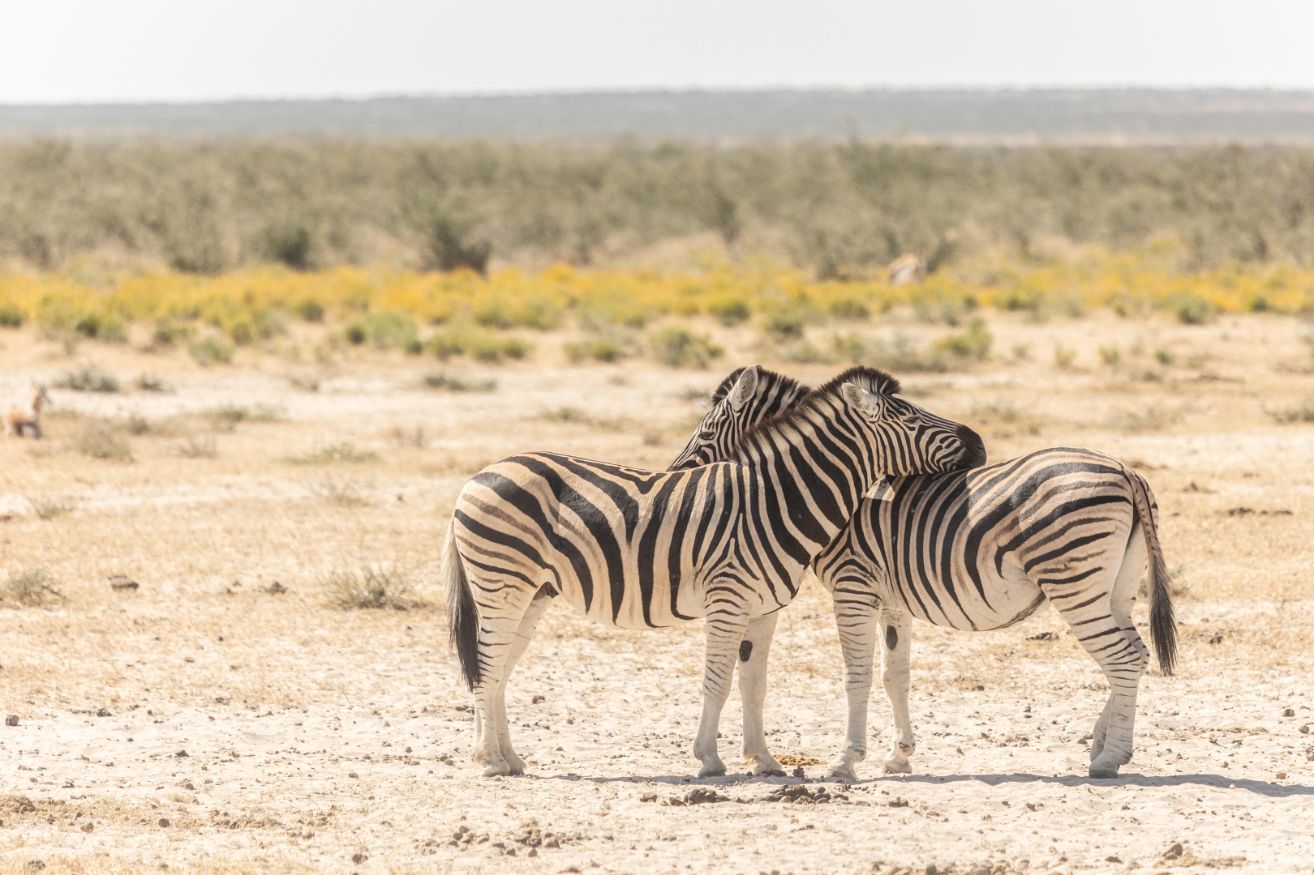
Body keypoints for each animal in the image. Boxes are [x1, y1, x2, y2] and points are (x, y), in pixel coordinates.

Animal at [443, 366, 985, 777]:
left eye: (705, 432)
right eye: (909, 417)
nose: (978, 443)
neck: (775, 498)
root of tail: (481, 473)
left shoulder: (765, 608)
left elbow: (753, 683)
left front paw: (765, 761)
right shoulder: (729, 600)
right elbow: (717, 680)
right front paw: (709, 759)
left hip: (531, 592)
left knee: (500, 666)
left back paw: (509, 758)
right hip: (501, 583)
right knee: (487, 664)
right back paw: (489, 760)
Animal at [673, 366, 1176, 780]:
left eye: (705, 435)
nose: (674, 476)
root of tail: (1127, 470)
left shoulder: (853, 587)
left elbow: (857, 675)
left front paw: (846, 762)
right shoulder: (893, 601)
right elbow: (895, 677)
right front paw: (899, 756)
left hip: (1074, 582)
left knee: (1121, 658)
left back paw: (1110, 759)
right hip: (1116, 588)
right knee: (1134, 655)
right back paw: (1104, 746)